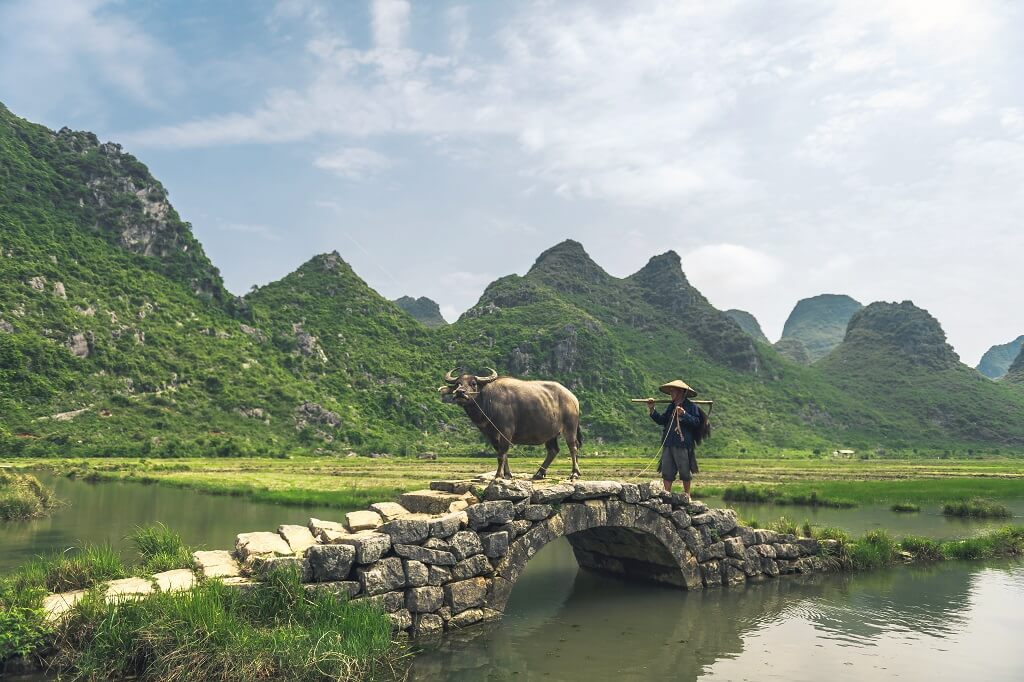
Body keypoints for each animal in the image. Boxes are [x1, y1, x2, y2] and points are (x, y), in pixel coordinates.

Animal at [438, 366, 585, 477]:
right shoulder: (491, 435)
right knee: (553, 450)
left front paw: (498, 475)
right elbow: (503, 454)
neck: (489, 401)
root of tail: (572, 397)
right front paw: (507, 475)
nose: (460, 393)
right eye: (457, 384)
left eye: (473, 384)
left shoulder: (506, 431)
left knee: (573, 447)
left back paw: (574, 473)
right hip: (550, 433)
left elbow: (502, 454)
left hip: (570, 427)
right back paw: (539, 474)